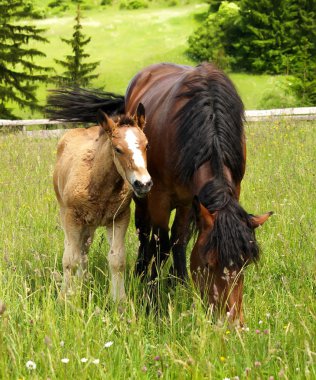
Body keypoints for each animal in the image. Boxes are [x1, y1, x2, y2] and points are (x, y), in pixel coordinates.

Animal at [51, 104, 152, 300]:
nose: (143, 183)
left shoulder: (119, 218)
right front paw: (65, 299)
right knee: (74, 250)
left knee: (84, 249)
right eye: (117, 149)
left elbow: (117, 260)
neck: (99, 184)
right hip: (66, 213)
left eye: (146, 145)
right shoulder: (72, 218)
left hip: (90, 224)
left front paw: (119, 301)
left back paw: (83, 282)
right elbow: (70, 260)